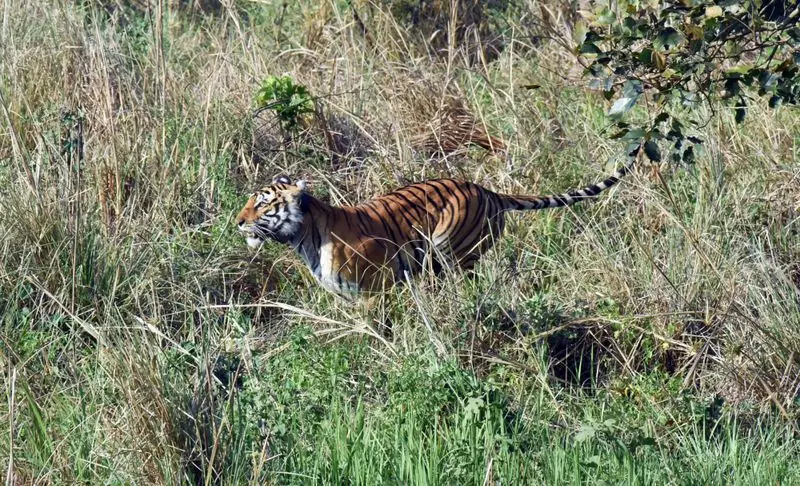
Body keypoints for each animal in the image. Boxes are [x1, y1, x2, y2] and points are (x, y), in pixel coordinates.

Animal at [236, 163, 633, 297]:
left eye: (262, 204)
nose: (238, 221)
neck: (305, 239)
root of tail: (486, 190)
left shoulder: (375, 292)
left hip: (450, 250)